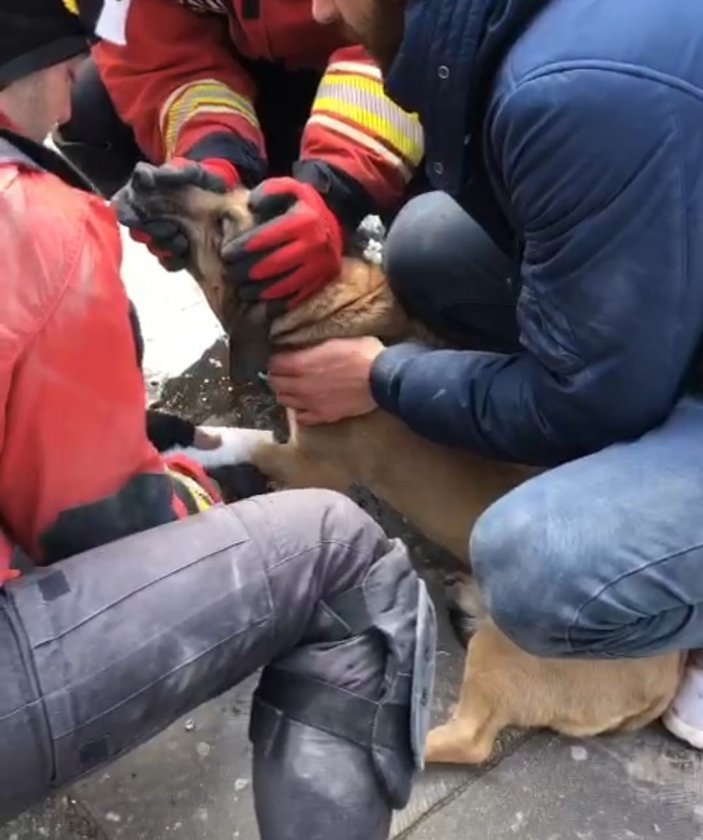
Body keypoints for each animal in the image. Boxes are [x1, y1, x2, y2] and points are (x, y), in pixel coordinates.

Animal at [118, 164, 684, 768]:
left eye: (224, 225)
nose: (145, 173)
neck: (326, 302)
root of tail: (664, 676)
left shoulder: (311, 463)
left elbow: (239, 439)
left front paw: (179, 441)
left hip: (503, 654)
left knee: (469, 740)